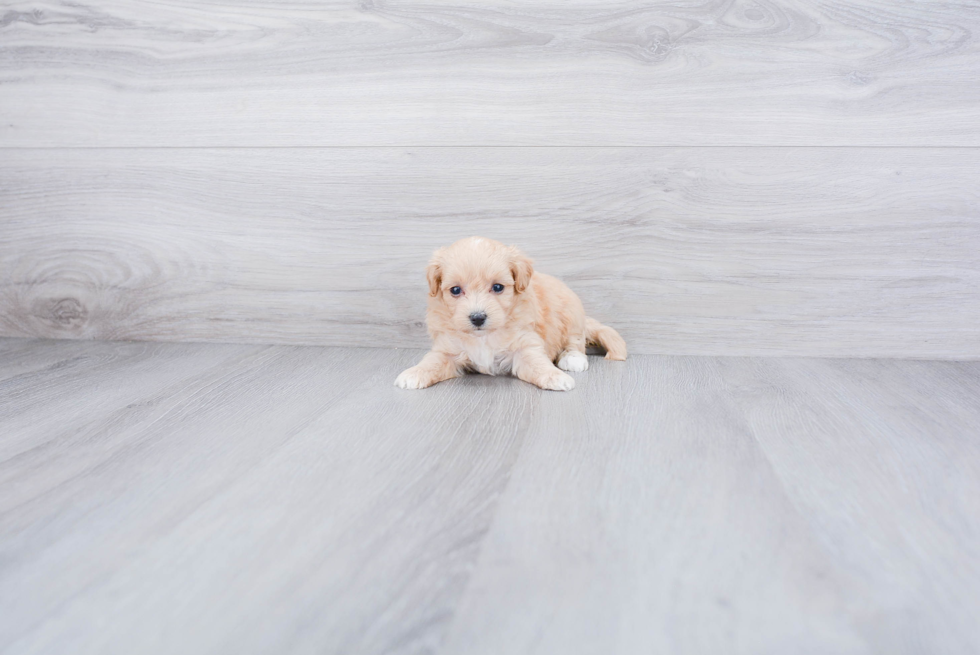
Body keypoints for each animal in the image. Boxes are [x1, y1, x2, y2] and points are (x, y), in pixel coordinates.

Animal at [392, 236, 628, 390]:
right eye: (456, 290)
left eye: (497, 287)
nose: (477, 318)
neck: (483, 337)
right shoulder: (446, 349)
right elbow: (431, 361)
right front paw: (414, 373)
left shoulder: (525, 346)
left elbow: (537, 363)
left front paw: (556, 377)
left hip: (572, 314)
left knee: (575, 341)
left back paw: (573, 359)